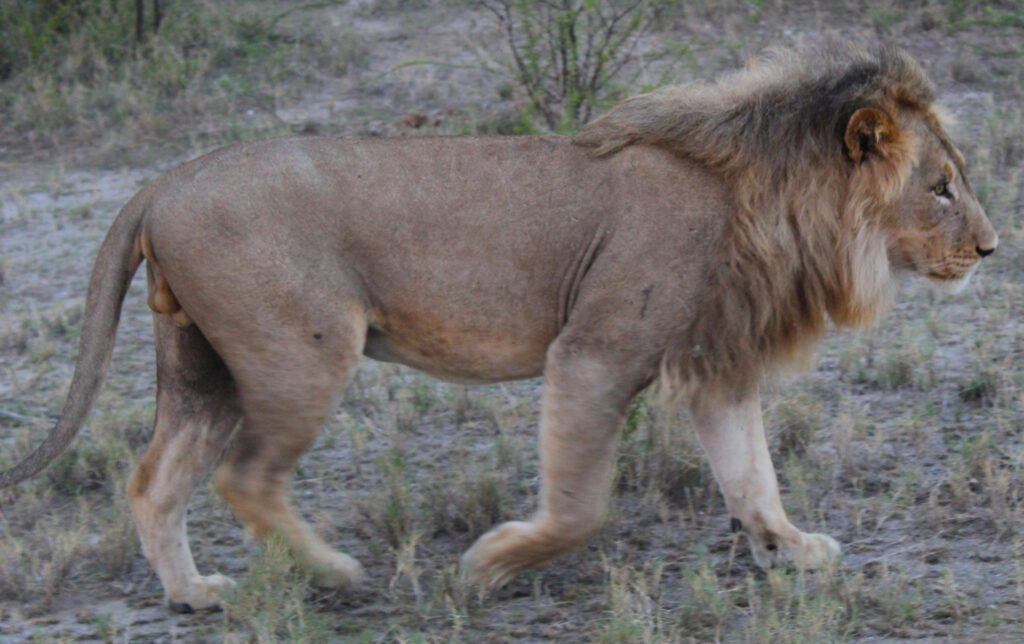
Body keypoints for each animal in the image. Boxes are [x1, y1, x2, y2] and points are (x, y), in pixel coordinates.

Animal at [0, 42, 991, 610]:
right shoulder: (593, 350)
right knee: (243, 478)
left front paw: (795, 551)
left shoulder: (718, 361)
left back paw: (196, 596)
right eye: (941, 187)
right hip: (299, 354)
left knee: (153, 482)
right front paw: (489, 566)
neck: (773, 202)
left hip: (199, 365)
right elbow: (581, 505)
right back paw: (332, 575)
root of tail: (163, 179)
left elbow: (753, 476)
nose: (989, 246)